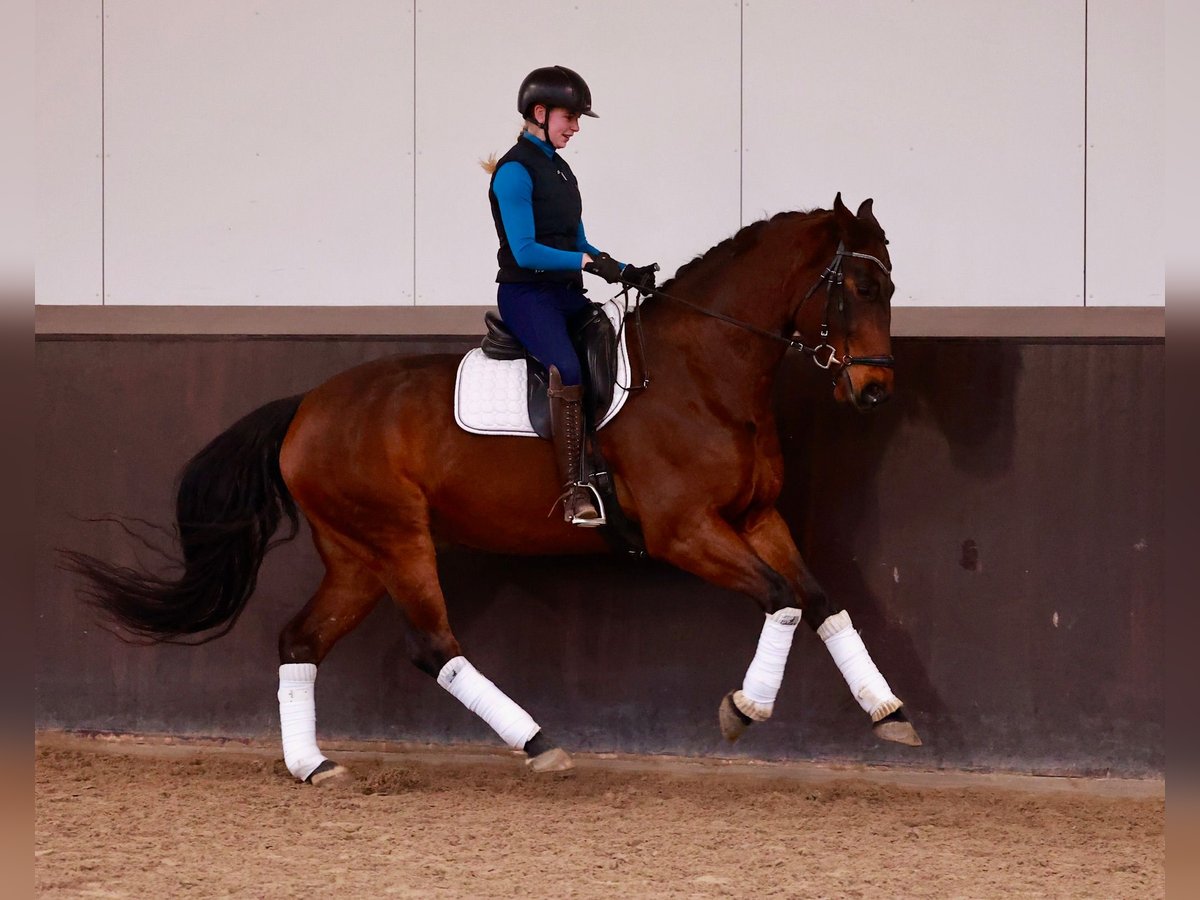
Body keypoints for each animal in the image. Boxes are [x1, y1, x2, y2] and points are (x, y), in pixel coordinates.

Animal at [70, 195, 921, 782]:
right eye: (855, 287)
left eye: (890, 287)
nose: (875, 390)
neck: (704, 373)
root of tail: (307, 407)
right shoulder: (686, 530)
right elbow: (780, 599)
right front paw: (745, 708)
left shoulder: (757, 514)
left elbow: (821, 600)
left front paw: (890, 712)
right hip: (397, 539)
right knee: (432, 645)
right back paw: (539, 744)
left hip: (356, 553)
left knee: (301, 641)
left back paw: (313, 766)